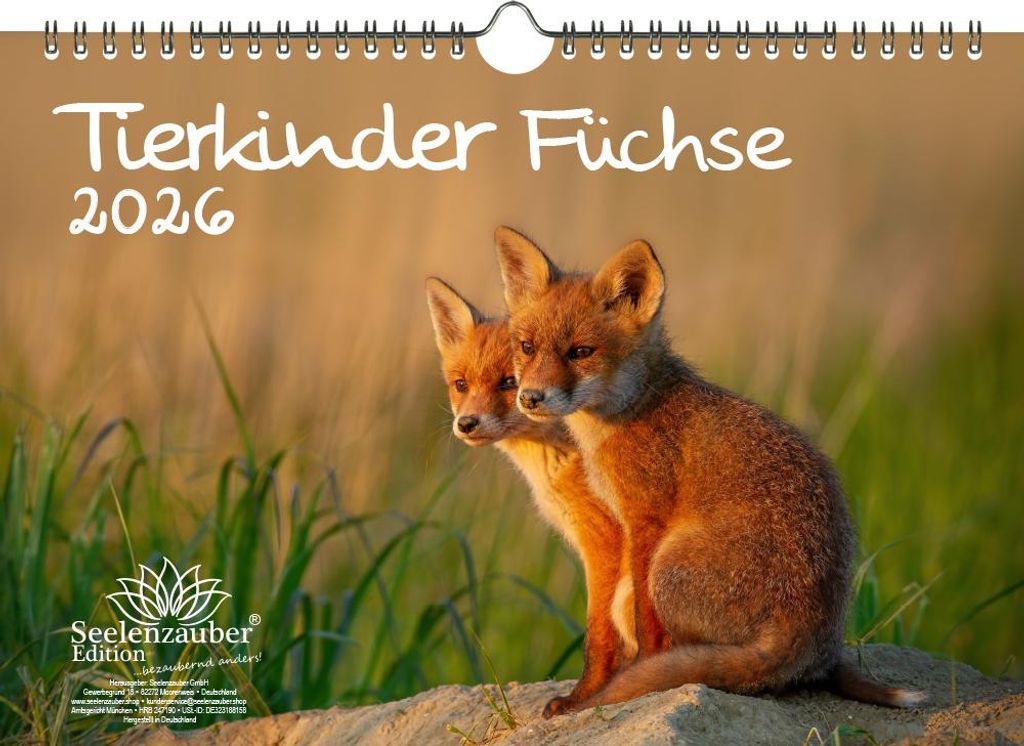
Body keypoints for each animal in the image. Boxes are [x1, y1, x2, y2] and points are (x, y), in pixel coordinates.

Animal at [424, 277, 638, 717]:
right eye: (460, 384)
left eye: (509, 382)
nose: (466, 423)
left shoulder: (603, 539)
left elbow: (600, 633)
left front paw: (587, 695)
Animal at [493, 226, 926, 711]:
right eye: (527, 347)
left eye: (581, 352)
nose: (530, 398)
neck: (631, 409)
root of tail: (814, 637)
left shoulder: (644, 518)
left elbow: (643, 626)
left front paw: (621, 680)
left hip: (666, 568)